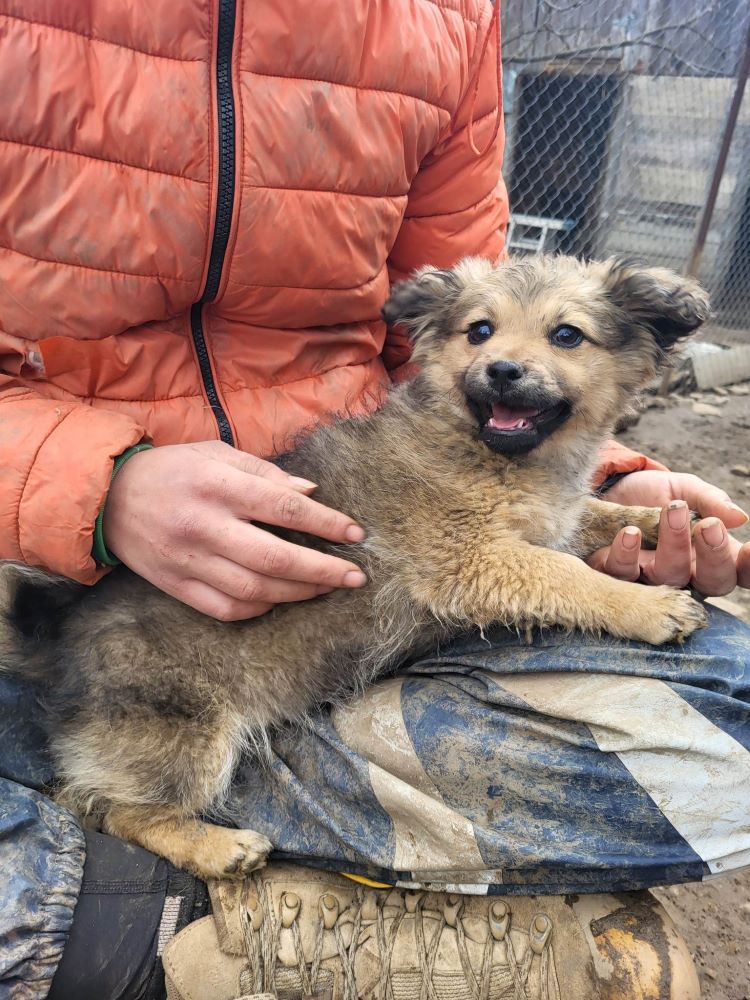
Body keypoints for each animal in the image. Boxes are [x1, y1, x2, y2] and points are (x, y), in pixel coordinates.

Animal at [0, 256, 712, 876]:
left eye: (568, 335)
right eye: (480, 330)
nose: (503, 370)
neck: (494, 453)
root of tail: (53, 641)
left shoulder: (543, 523)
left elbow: (594, 516)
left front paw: (675, 519)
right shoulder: (470, 557)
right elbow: (567, 574)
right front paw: (649, 605)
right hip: (183, 732)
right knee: (103, 808)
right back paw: (217, 848)